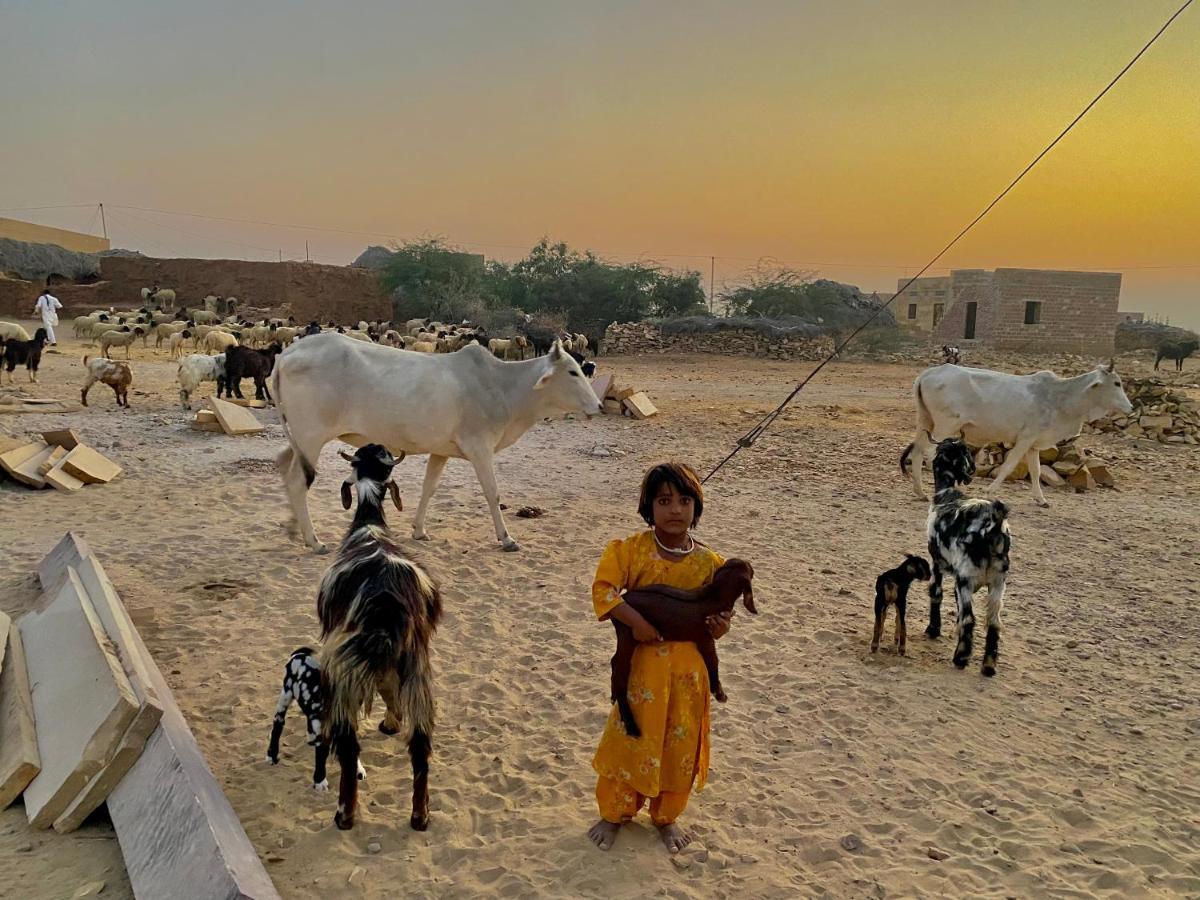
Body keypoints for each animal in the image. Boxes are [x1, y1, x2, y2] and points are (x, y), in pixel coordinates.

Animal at [274, 336, 604, 554]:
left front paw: (419, 531)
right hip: (311, 436)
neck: (502, 386)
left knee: (285, 468)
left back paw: (294, 528)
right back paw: (314, 540)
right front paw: (506, 538)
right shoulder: (479, 448)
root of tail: (287, 352)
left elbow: (429, 489)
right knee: (297, 482)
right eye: (572, 372)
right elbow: (493, 493)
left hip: (300, 441)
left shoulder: (440, 452)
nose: (599, 405)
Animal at [316, 444, 444, 830]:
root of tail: (387, 605)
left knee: (348, 745)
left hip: (343, 674)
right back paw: (419, 815)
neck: (369, 527)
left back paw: (345, 814)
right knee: (421, 745)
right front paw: (391, 721)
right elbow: (389, 691)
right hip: (417, 672)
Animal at [609, 556, 758, 739]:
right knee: (620, 675)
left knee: (614, 661)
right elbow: (713, 661)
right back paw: (631, 726)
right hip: (628, 635)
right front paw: (719, 692)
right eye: (750, 569)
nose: (754, 568)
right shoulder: (705, 638)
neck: (715, 594)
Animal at [902, 362, 1132, 511]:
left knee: (917, 451)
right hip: (946, 425)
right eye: (1117, 383)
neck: (1060, 397)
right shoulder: (1025, 439)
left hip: (925, 423)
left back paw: (920, 492)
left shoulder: (1034, 445)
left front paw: (1041, 500)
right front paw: (990, 491)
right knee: (927, 453)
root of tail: (928, 374)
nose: (1130, 408)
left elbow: (1036, 470)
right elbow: (1009, 465)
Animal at [926, 436, 1012, 676]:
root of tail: (994, 524)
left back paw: (961, 657)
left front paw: (933, 629)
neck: (946, 494)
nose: (972, 470)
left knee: (969, 618)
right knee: (993, 623)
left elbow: (936, 592)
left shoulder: (938, 563)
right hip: (998, 582)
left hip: (966, 578)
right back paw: (988, 666)